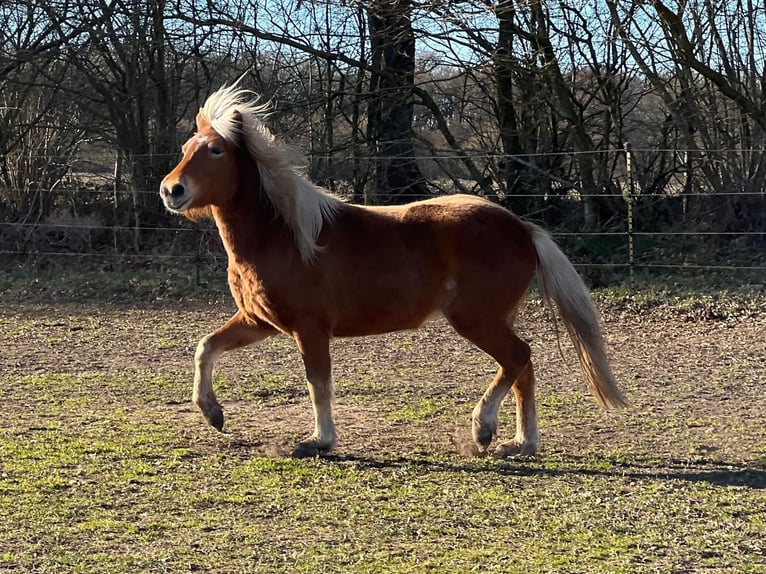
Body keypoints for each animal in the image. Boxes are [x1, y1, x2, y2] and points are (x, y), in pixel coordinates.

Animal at [159, 82, 625, 458]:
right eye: (185, 149)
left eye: (215, 150)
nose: (171, 190)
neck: (285, 235)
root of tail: (522, 228)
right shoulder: (260, 321)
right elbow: (205, 347)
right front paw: (213, 413)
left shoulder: (310, 328)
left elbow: (317, 384)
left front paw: (319, 441)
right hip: (495, 318)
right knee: (521, 369)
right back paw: (520, 443)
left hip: (475, 318)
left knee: (518, 357)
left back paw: (483, 428)